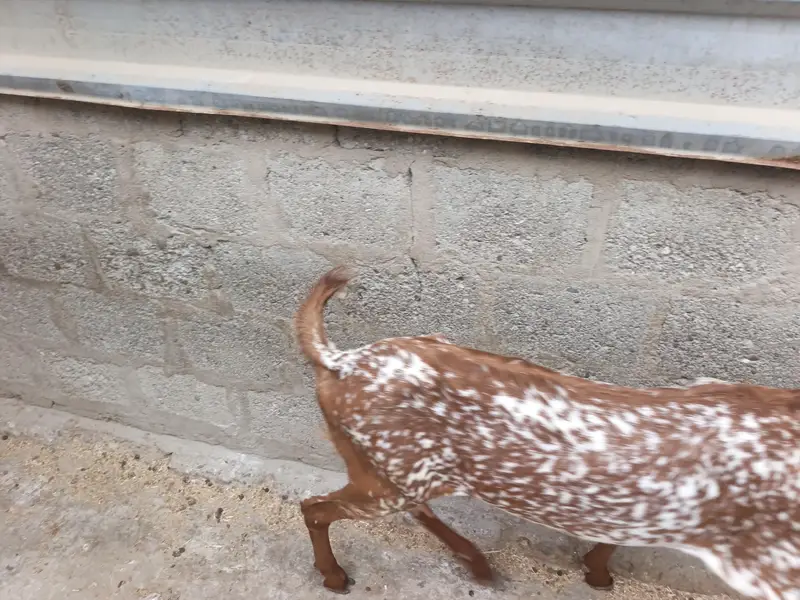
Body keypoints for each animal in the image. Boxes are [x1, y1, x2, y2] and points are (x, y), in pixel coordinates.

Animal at [295, 266, 799, 599]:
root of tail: (339, 360)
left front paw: (595, 571)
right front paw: (597, 572)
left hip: (392, 467)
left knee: (402, 507)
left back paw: (479, 565)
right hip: (389, 474)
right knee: (314, 507)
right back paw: (337, 578)